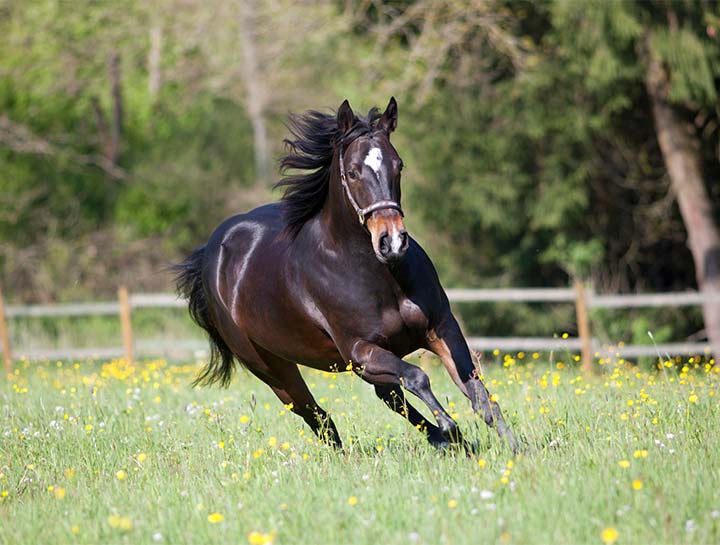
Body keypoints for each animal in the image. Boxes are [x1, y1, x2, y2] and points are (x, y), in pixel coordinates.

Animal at [177, 99, 520, 454]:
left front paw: (516, 450)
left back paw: (449, 443)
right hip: (271, 367)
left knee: (386, 397)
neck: (378, 276)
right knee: (317, 414)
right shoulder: (360, 350)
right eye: (353, 172)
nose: (392, 241)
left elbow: (478, 394)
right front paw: (450, 427)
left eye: (399, 165)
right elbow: (418, 377)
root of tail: (211, 252)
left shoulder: (440, 329)